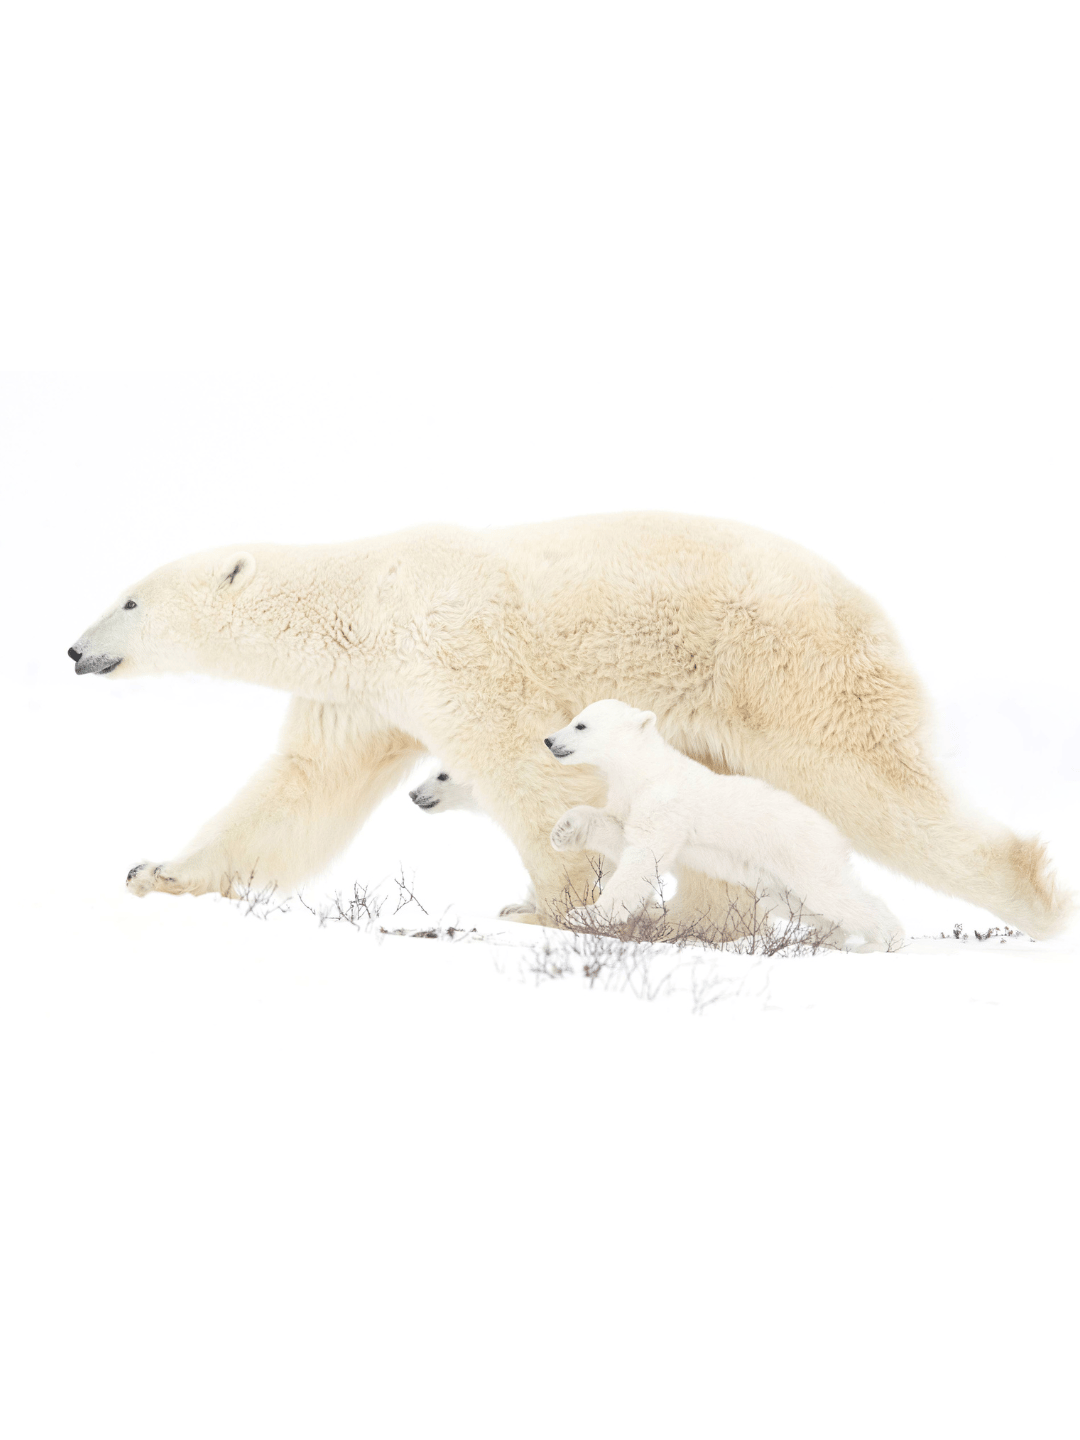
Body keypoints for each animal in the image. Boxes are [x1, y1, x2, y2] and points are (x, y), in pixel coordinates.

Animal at [546, 699, 905, 951]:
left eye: (580, 725)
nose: (549, 740)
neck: (645, 770)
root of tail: (837, 836)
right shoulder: (630, 799)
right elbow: (618, 832)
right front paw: (563, 830)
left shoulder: (664, 803)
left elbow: (642, 858)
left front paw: (585, 914)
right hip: (772, 878)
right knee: (801, 905)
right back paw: (822, 940)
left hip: (802, 854)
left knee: (834, 896)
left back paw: (883, 942)